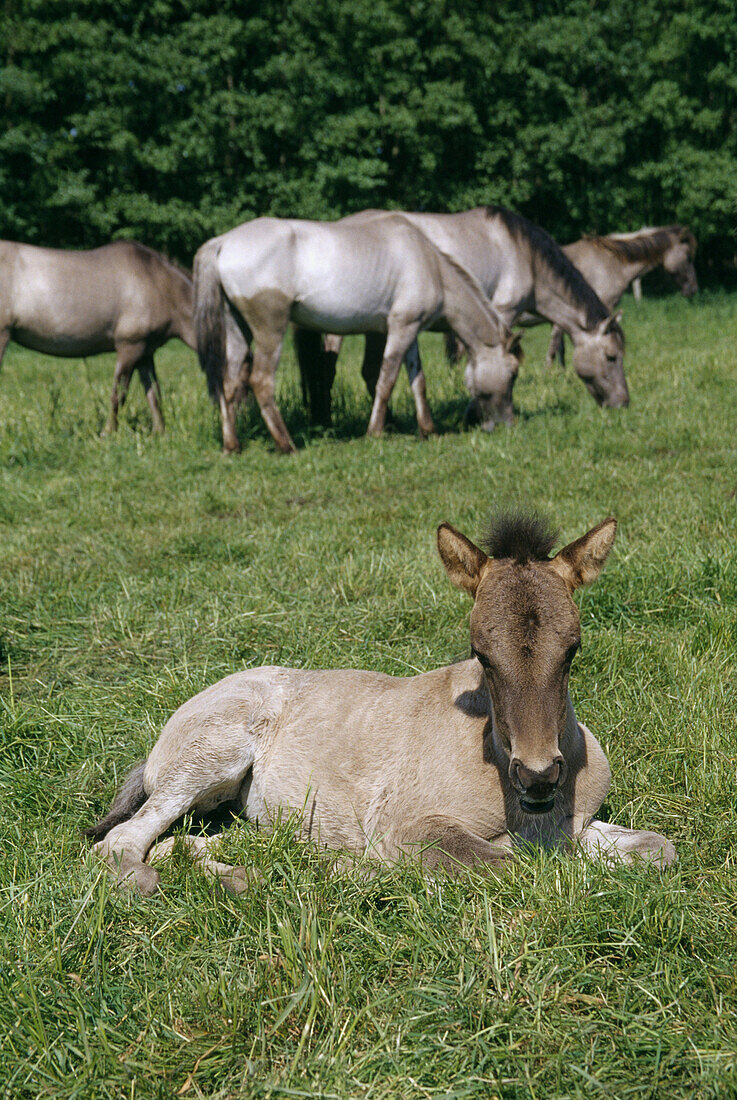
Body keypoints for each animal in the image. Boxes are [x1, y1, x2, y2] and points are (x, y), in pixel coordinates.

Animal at [0, 240, 195, 433]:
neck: (159, 284)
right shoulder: (129, 346)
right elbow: (119, 395)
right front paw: (109, 432)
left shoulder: (146, 352)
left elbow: (154, 394)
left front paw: (160, 432)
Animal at [85, 510, 677, 897]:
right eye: (481, 654)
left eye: (572, 649)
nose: (536, 777)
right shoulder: (408, 826)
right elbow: (518, 865)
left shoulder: (574, 825)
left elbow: (656, 849)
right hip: (208, 759)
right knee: (123, 840)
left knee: (182, 844)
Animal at [193, 212, 523, 453]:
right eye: (513, 374)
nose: (508, 424)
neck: (430, 264)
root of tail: (223, 241)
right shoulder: (400, 330)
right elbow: (386, 380)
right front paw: (375, 431)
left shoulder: (410, 330)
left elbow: (418, 381)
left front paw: (428, 429)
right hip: (269, 330)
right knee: (260, 382)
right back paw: (286, 445)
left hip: (238, 330)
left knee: (228, 383)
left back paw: (232, 446)